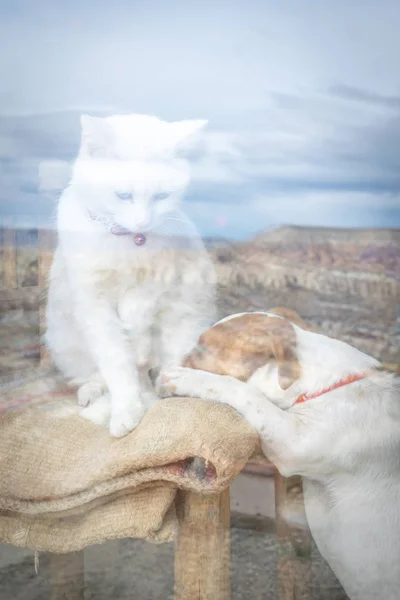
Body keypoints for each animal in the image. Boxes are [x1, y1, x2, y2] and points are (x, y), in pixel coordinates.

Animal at [44, 115, 216, 438]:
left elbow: (137, 315)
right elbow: (117, 364)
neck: (126, 240)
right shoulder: (94, 304)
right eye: (123, 195)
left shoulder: (156, 285)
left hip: (188, 325)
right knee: (96, 373)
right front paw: (126, 412)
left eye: (161, 196)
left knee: (170, 363)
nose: (143, 222)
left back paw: (165, 384)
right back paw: (93, 392)